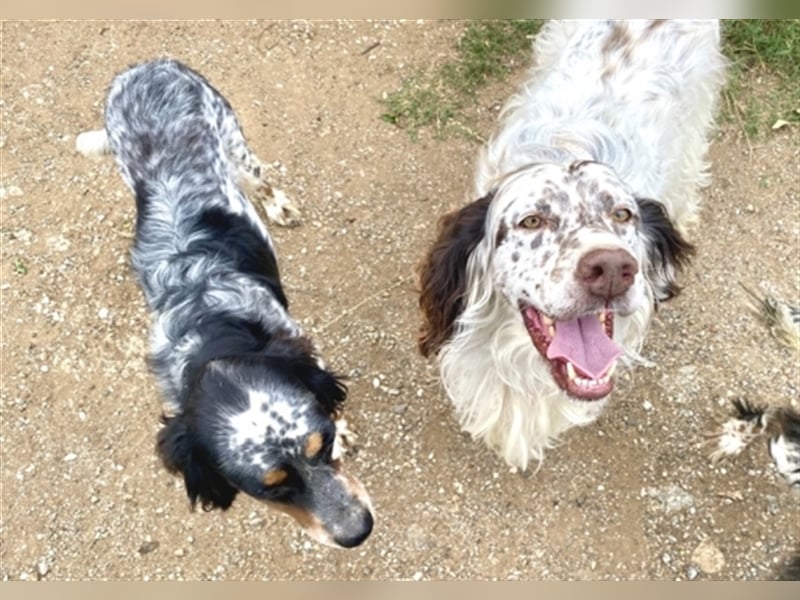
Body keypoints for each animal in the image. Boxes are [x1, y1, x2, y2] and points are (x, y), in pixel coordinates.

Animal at [76, 58, 374, 548]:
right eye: (269, 488)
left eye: (323, 443)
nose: (359, 532)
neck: (209, 327)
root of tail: (147, 68)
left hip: (234, 143)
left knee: (260, 179)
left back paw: (279, 205)